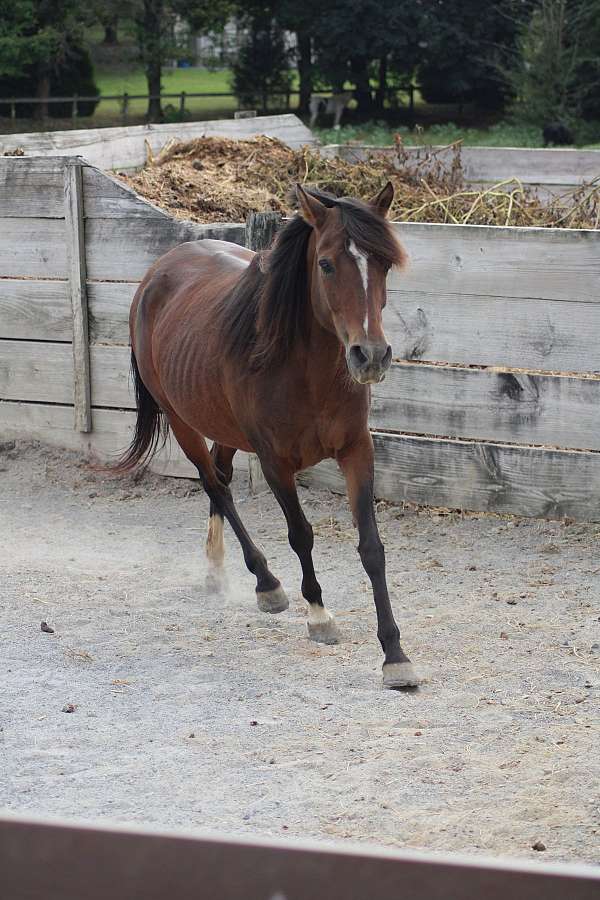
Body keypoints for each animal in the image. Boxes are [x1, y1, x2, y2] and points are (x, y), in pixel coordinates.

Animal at [115, 182, 419, 689]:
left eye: (382, 263)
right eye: (326, 264)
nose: (371, 355)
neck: (308, 371)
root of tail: (158, 272)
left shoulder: (358, 450)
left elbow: (371, 547)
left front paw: (395, 655)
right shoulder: (276, 462)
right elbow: (301, 535)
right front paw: (318, 616)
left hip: (224, 426)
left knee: (220, 478)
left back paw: (216, 570)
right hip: (182, 422)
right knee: (215, 485)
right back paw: (267, 583)